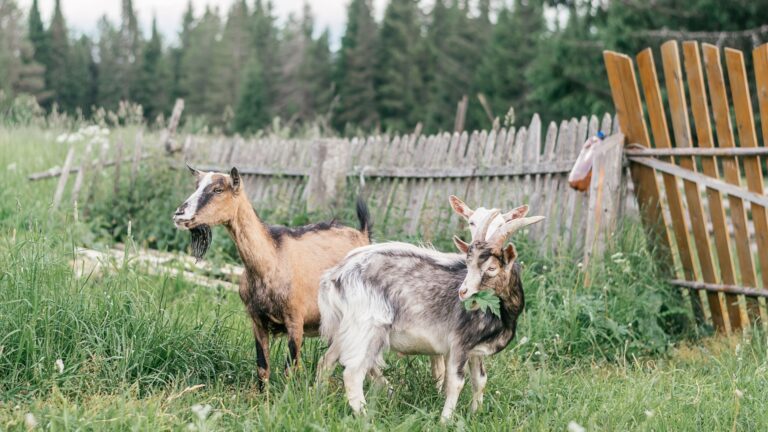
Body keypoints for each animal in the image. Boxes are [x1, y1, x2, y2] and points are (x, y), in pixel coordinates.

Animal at [173, 166, 371, 387]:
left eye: (218, 189)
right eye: (196, 186)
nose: (179, 214)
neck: (272, 257)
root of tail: (363, 234)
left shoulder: (296, 321)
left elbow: (289, 371)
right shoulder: (257, 320)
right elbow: (262, 368)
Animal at [317, 210, 544, 420]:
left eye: (492, 268)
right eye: (468, 264)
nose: (463, 292)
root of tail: (335, 277)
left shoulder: (475, 349)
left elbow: (480, 380)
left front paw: (475, 414)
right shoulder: (460, 344)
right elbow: (456, 382)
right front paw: (445, 420)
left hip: (347, 328)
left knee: (326, 360)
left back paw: (318, 398)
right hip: (368, 327)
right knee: (352, 373)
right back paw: (365, 417)